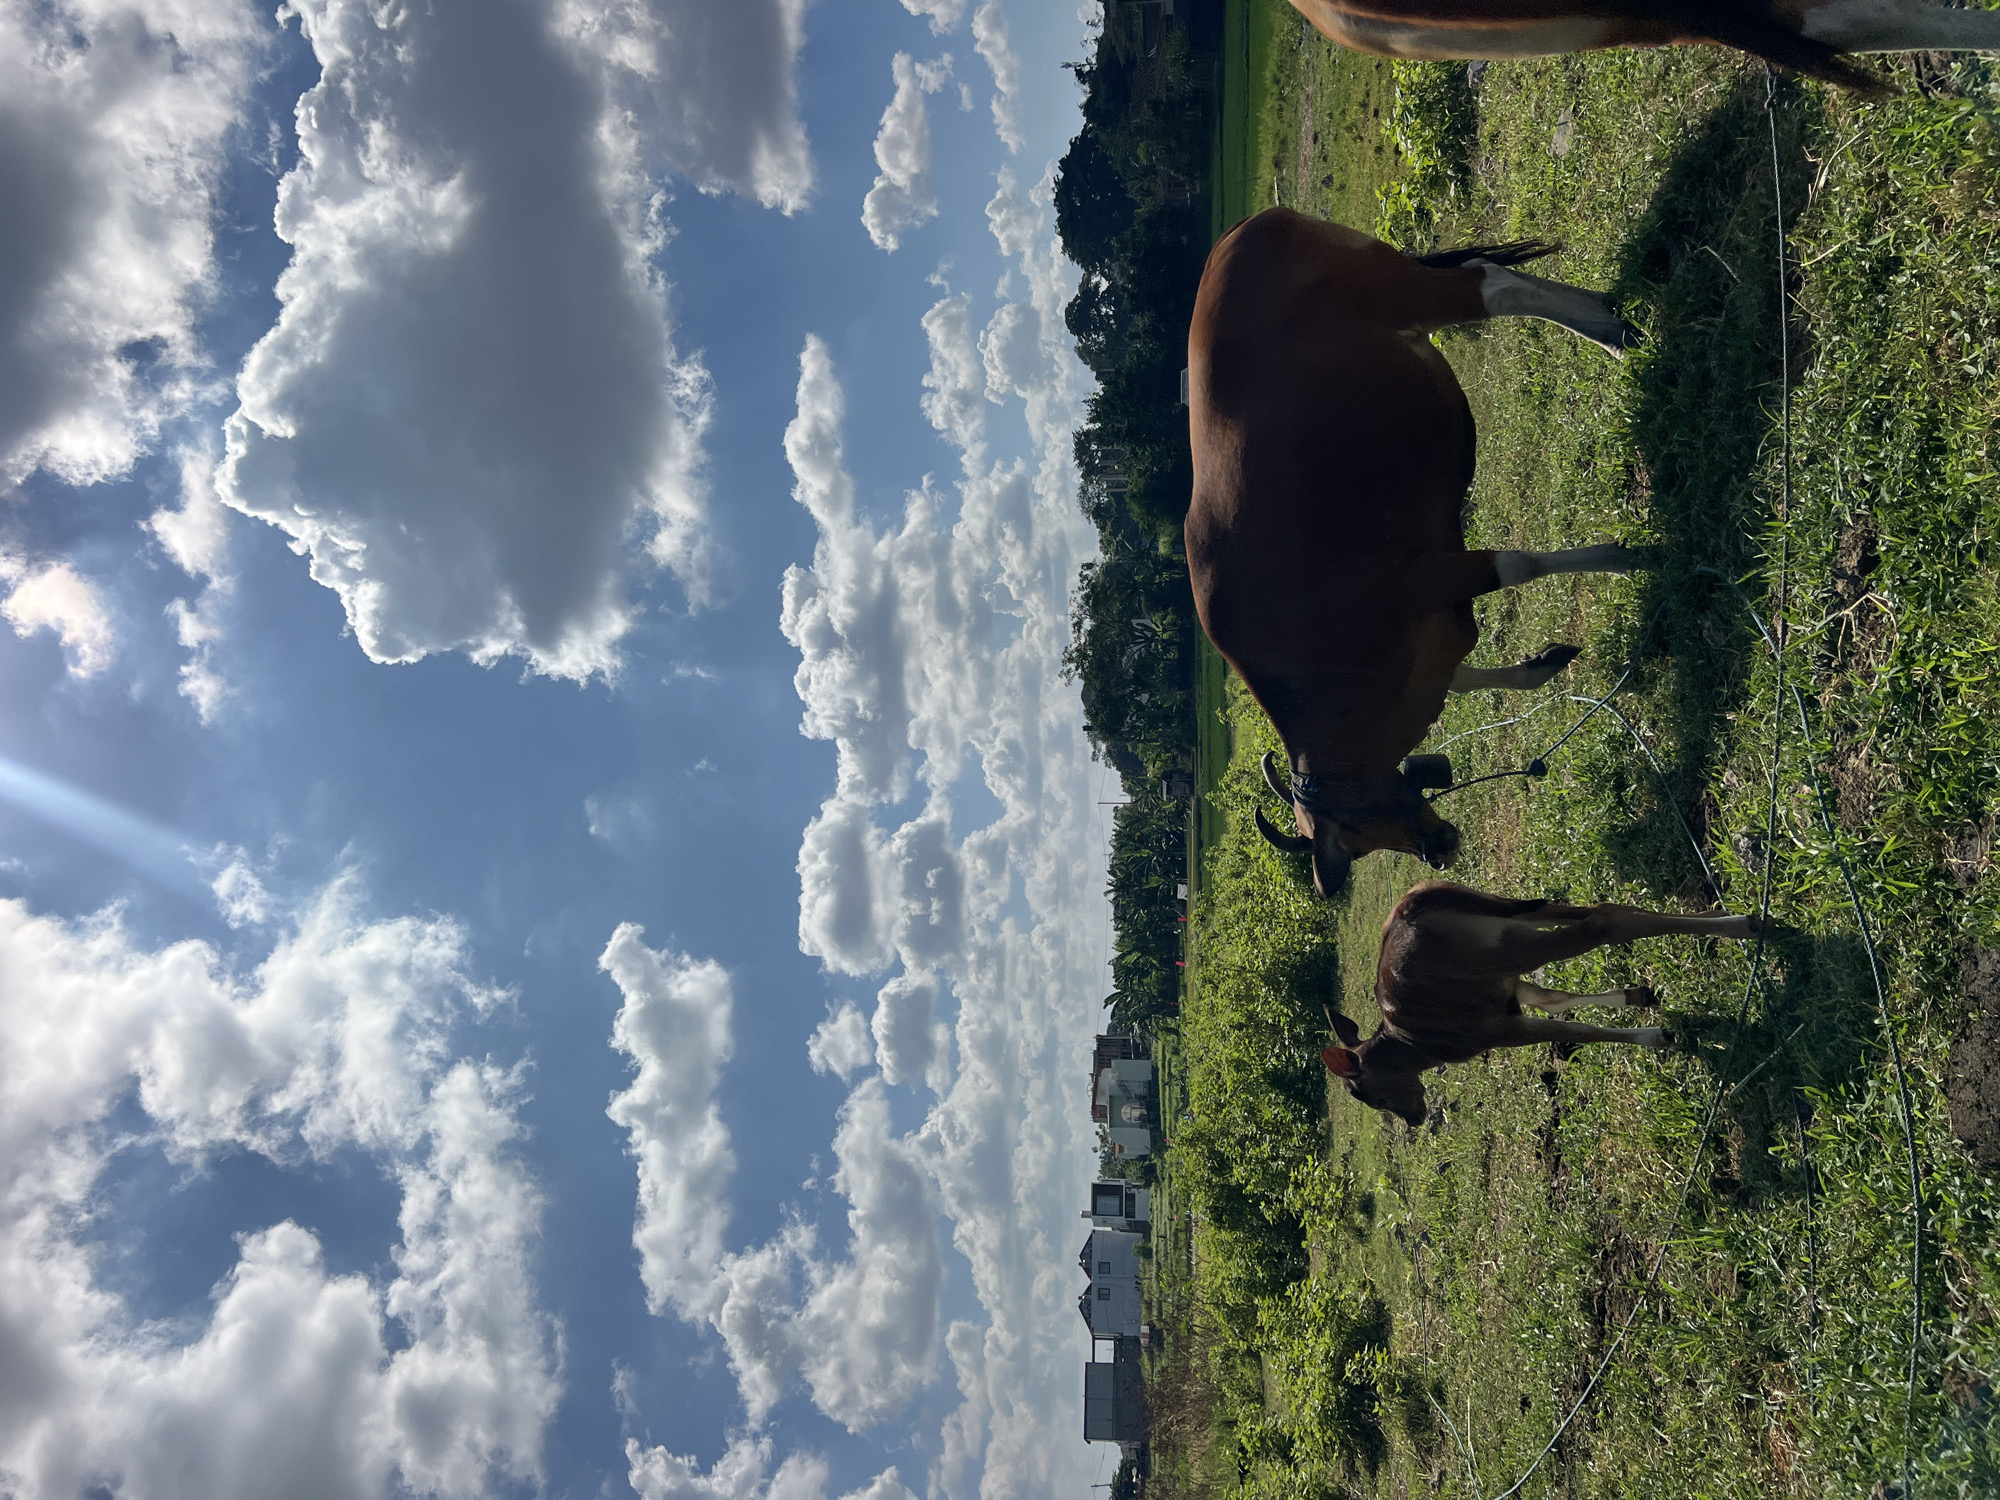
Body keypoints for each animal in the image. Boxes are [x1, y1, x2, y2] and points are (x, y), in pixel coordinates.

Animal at [1187, 207, 1650, 899]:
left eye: (1351, 833)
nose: (1439, 850)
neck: (1319, 658)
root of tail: (1241, 232)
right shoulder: (1426, 632)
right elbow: (1468, 675)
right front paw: (1540, 665)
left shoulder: (1420, 580)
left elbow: (1517, 565)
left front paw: (1631, 557)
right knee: (1490, 275)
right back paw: (1610, 324)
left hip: (1410, 292)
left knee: (1491, 286)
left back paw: (1612, 333)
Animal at [1323, 880, 1769, 1126]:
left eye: (1367, 1095)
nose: (1414, 1119)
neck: (1415, 1045)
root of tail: (1414, 906)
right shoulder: (1508, 991)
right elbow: (1556, 1001)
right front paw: (1637, 995)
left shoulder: (1496, 1031)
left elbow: (1574, 1030)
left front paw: (1657, 1035)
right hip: (1515, 920)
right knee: (1602, 909)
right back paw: (1726, 915)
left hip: (1507, 947)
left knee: (1603, 924)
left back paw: (1742, 925)